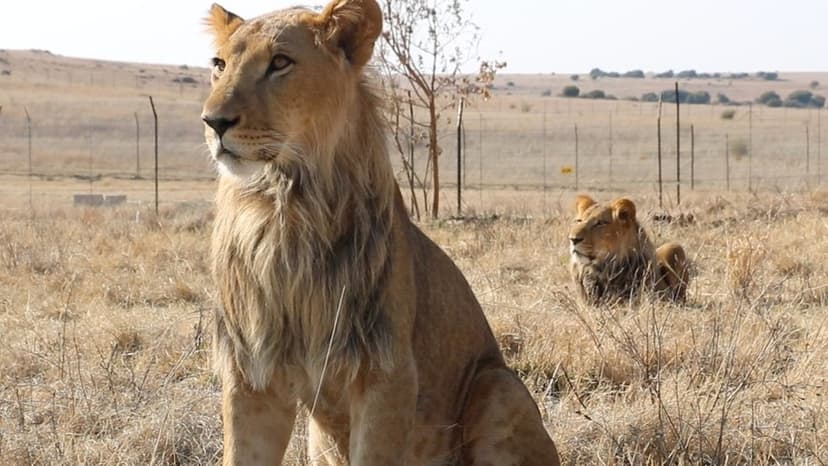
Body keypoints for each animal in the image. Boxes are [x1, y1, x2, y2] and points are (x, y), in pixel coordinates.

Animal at [202, 1, 561, 464]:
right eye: (219, 65)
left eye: (280, 63)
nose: (213, 122)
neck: (285, 208)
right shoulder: (252, 371)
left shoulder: (386, 372)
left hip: (500, 386)